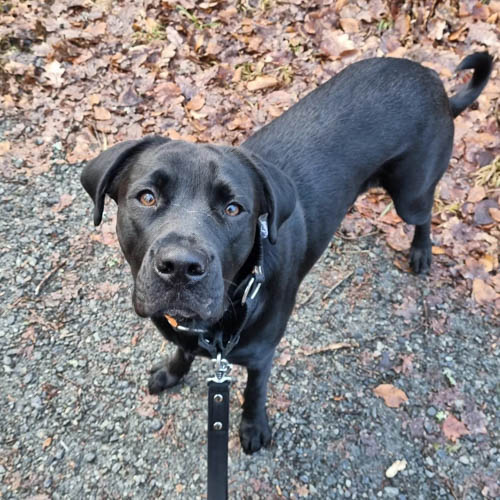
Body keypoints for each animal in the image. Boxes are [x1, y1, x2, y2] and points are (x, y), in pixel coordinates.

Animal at [81, 52, 492, 456]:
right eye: (147, 197)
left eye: (234, 209)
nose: (181, 266)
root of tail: (436, 84)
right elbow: (183, 352)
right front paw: (171, 372)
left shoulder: (261, 356)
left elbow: (254, 391)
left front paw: (253, 427)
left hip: (411, 193)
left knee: (427, 211)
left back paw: (421, 251)